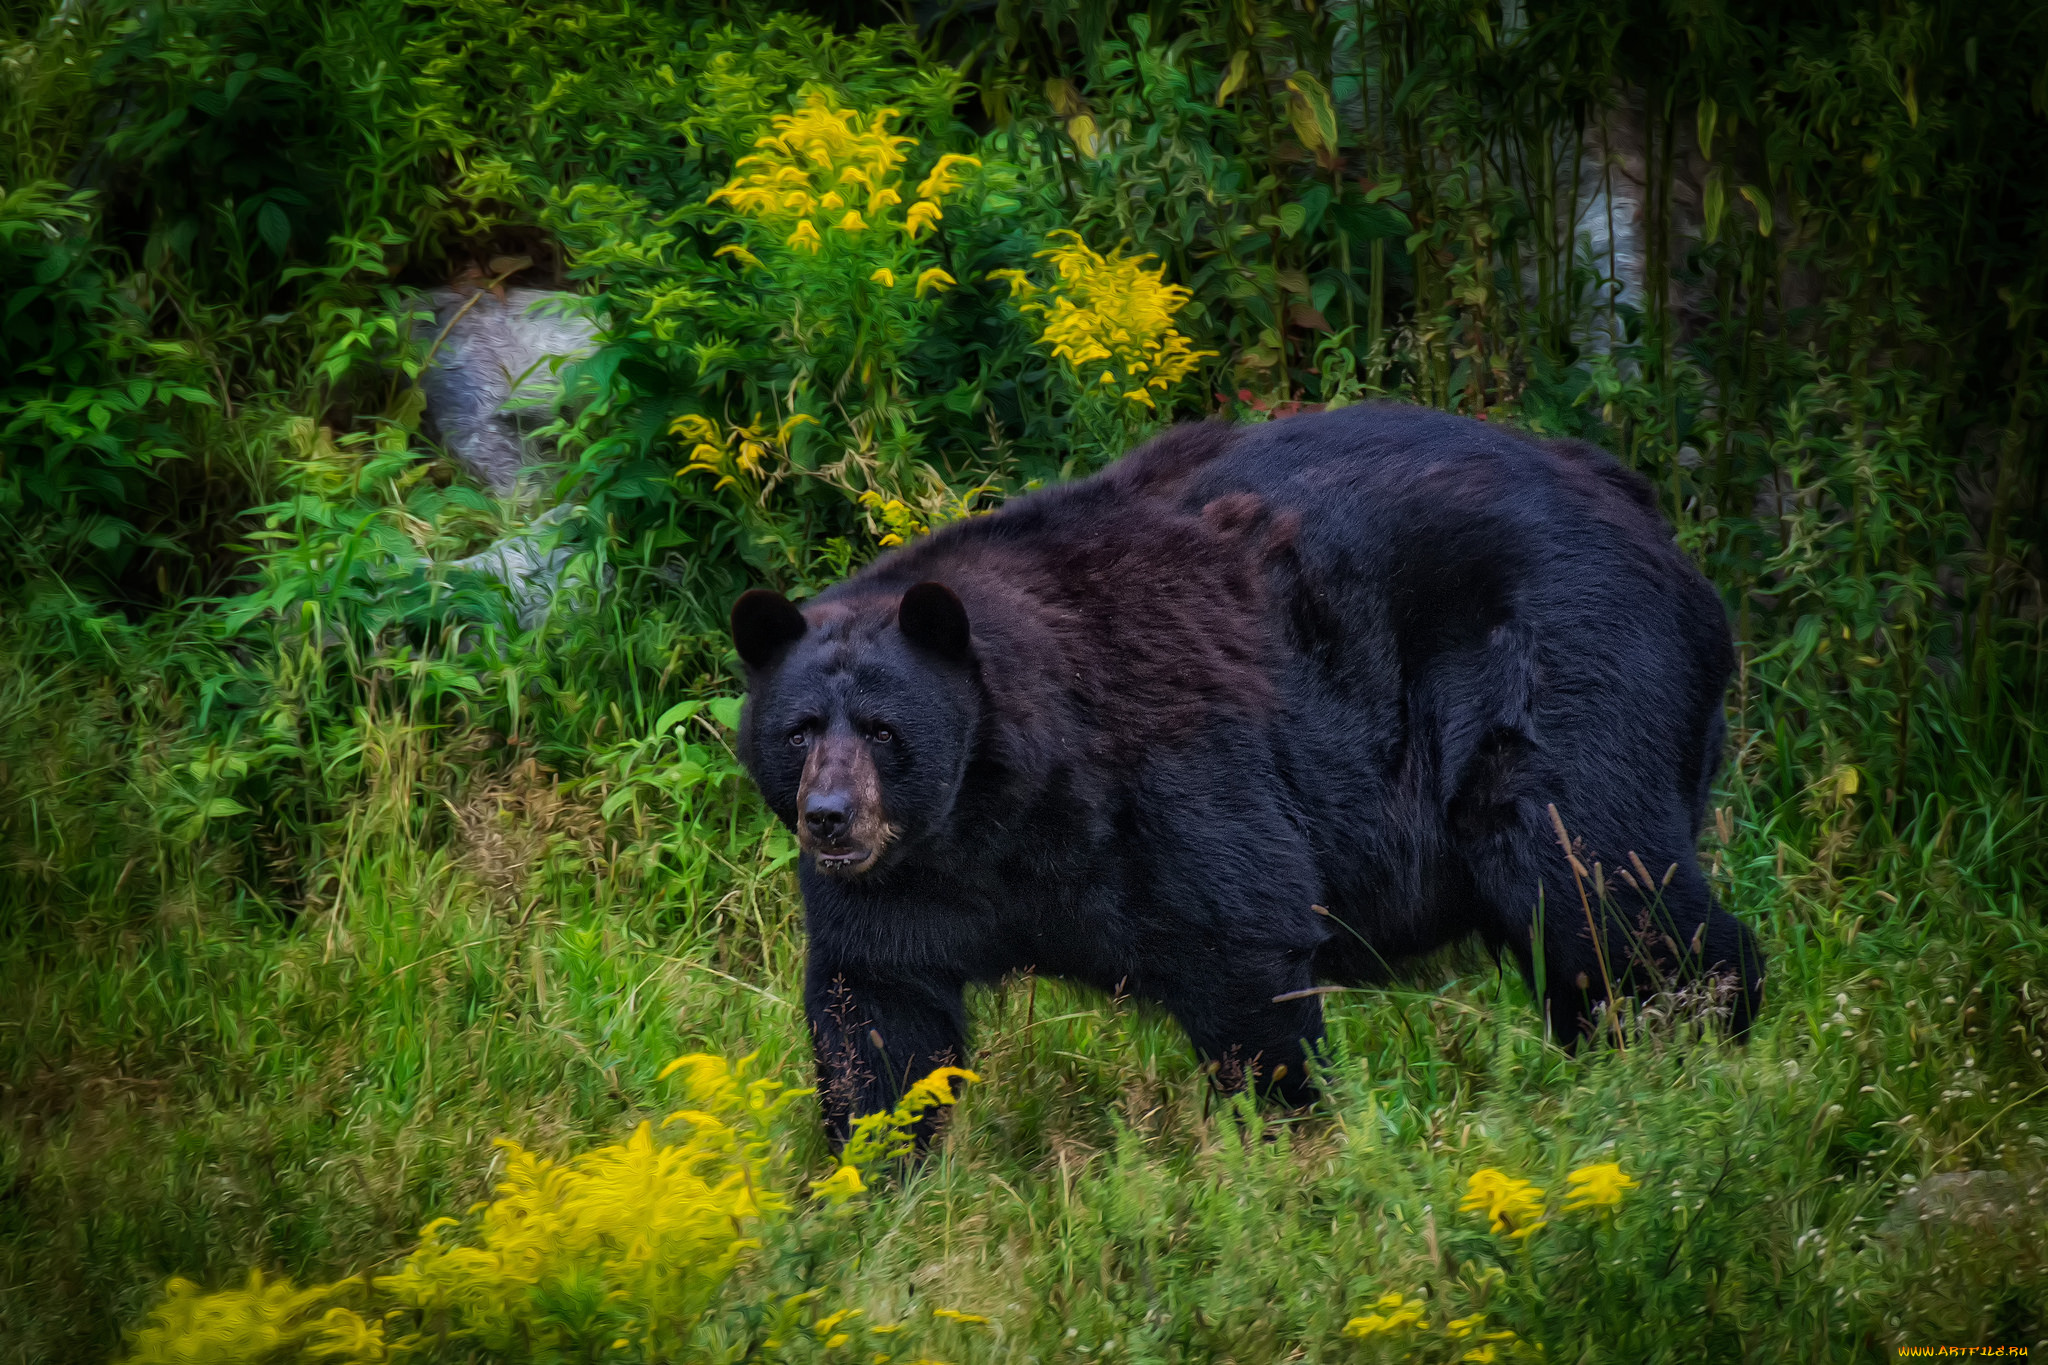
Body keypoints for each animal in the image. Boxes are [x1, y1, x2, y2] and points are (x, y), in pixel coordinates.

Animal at [733, 405, 1761, 1146]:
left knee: (1595, 879)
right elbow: (877, 1012)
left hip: (1569, 674)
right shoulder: (907, 883)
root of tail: (1644, 508)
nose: (830, 817)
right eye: (797, 730)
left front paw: (1288, 1141)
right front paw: (869, 1180)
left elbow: (1243, 944)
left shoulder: (1175, 769)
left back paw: (1686, 1059)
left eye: (883, 728)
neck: (998, 808)